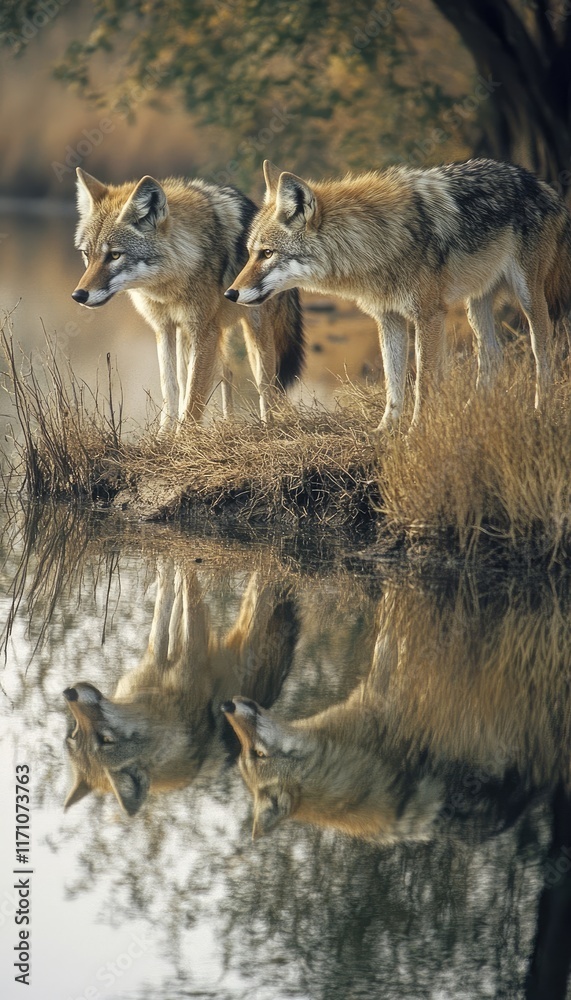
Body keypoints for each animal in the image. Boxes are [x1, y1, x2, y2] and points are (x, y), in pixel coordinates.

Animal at [62, 560, 298, 815]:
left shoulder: (167, 656)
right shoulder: (190, 651)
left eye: (74, 735)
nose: (68, 693)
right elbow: (179, 603)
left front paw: (168, 564)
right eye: (103, 738)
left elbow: (166, 612)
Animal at [72, 169, 304, 430]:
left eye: (114, 255)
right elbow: (172, 388)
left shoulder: (204, 331)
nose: (78, 295)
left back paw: (266, 424)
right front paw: (164, 435)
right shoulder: (164, 328)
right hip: (190, 336)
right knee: (223, 374)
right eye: (87, 254)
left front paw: (184, 435)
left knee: (265, 385)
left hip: (254, 334)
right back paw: (228, 423)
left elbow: (194, 395)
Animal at [225, 159, 571, 430]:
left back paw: (540, 410)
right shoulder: (389, 318)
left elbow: (423, 384)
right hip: (475, 305)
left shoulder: (429, 315)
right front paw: (385, 430)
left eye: (267, 253)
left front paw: (416, 431)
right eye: (251, 253)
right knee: (491, 357)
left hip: (529, 296)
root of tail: (538, 182)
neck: (376, 240)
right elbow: (393, 382)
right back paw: (469, 413)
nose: (230, 293)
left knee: (544, 351)